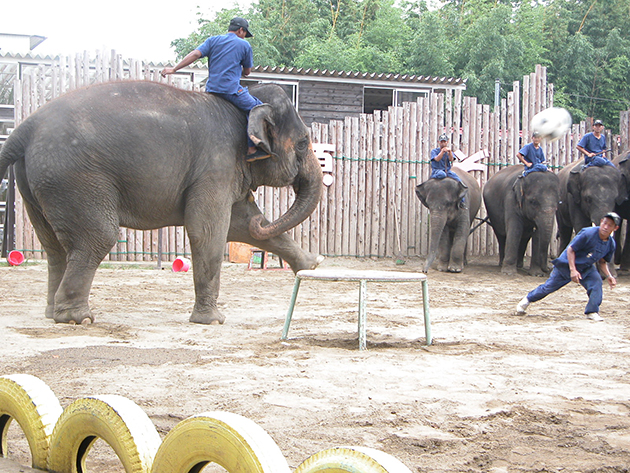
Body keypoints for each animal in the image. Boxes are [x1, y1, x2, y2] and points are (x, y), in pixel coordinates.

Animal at [0, 81, 326, 324]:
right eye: (302, 143)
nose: (316, 261)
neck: (245, 104)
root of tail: (25, 127)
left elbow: (242, 224)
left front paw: (312, 266)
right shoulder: (216, 164)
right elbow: (209, 230)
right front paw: (213, 320)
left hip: (38, 184)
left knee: (53, 246)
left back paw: (52, 313)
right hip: (74, 178)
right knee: (97, 237)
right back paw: (77, 318)